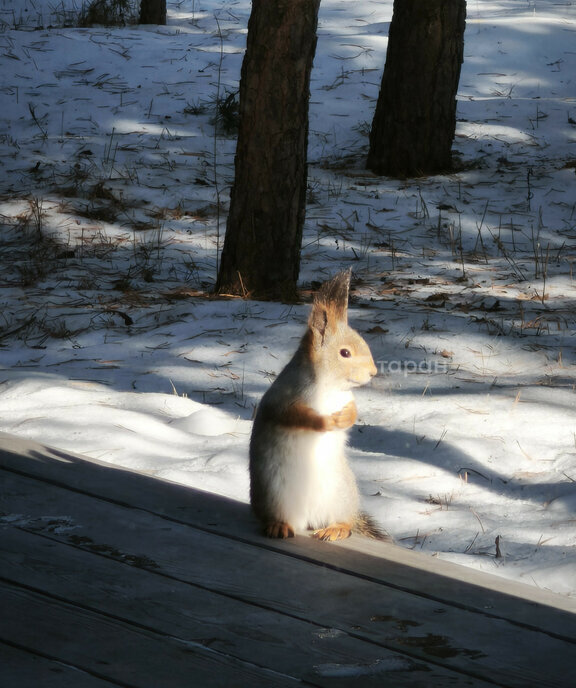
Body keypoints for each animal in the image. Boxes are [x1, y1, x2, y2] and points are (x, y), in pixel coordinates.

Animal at [249, 268, 392, 544]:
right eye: (344, 353)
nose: (373, 372)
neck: (330, 386)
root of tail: (308, 518)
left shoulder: (348, 398)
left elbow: (354, 411)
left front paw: (345, 419)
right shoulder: (281, 399)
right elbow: (295, 416)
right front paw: (326, 421)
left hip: (341, 495)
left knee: (344, 520)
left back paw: (336, 528)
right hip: (274, 495)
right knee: (280, 517)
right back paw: (278, 526)